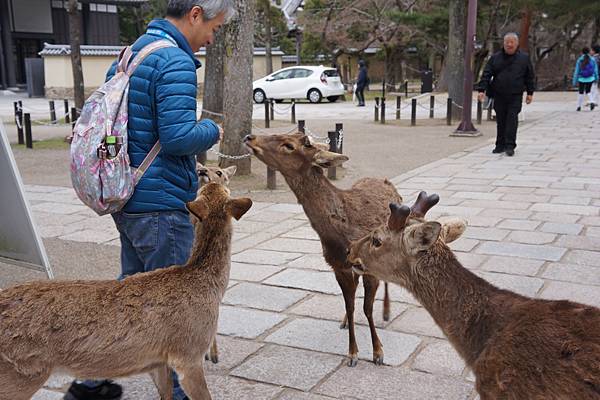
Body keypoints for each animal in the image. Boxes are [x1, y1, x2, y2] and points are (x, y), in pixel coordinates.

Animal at [0, 184, 252, 400]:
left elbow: (166, 394)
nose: (205, 175)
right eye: (225, 189)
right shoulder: (188, 353)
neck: (210, 288)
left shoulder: (158, 361)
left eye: (216, 188)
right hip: (21, 374)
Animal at [243, 133, 464, 368]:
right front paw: (352, 352)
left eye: (289, 145)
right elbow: (350, 305)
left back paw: (386, 312)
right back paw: (345, 321)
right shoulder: (337, 266)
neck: (342, 234)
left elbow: (368, 307)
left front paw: (377, 352)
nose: (249, 137)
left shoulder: (371, 267)